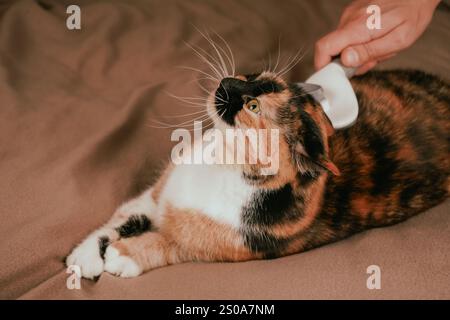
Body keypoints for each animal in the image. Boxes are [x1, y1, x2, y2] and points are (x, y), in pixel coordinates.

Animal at [65, 69, 448, 278]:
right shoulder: (157, 196)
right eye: (253, 77)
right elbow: (123, 217)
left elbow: (171, 244)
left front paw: (124, 256)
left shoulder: (226, 246)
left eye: (253, 106)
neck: (225, 163)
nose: (226, 82)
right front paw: (86, 256)